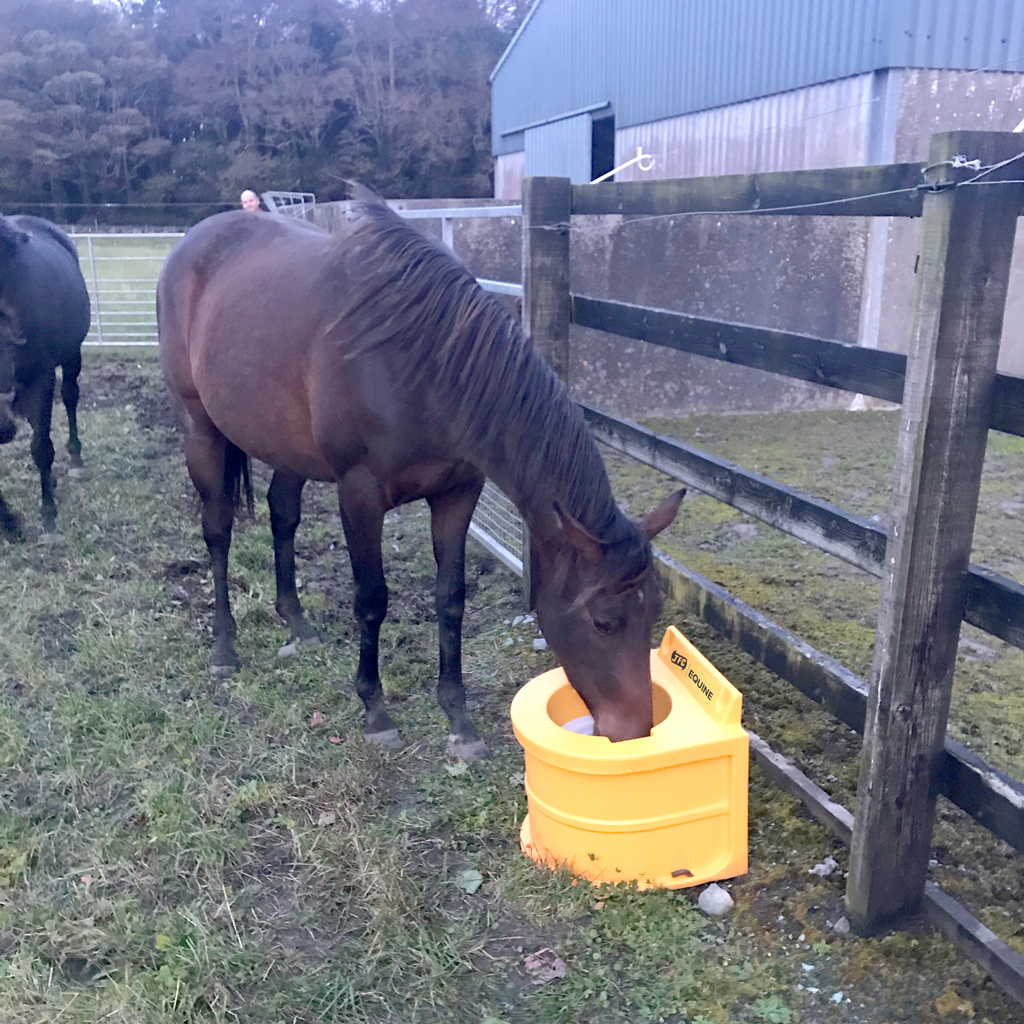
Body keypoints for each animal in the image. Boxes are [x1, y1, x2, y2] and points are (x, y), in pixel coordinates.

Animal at [0, 216, 91, 536]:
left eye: (8, 341)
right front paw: (9, 524)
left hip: (72, 353)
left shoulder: (41, 376)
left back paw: (75, 459)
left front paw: (48, 514)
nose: (3, 429)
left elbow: (40, 446)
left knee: (70, 397)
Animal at [155, 192, 684, 757]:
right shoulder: (359, 495)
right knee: (218, 530)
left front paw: (458, 717)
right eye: (602, 622)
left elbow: (450, 599)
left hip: (285, 445)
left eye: (653, 613)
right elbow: (372, 599)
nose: (635, 731)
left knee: (283, 513)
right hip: (198, 427)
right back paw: (224, 647)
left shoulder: (458, 492)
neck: (425, 363)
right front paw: (375, 710)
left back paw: (297, 623)